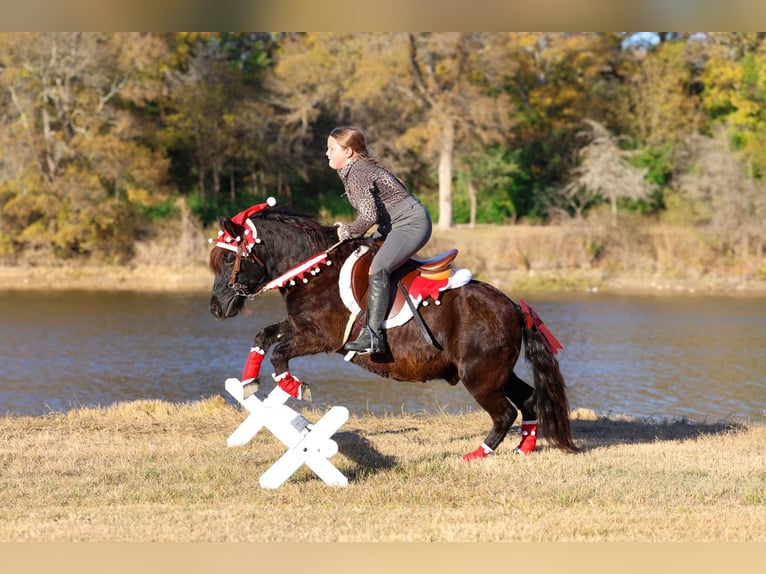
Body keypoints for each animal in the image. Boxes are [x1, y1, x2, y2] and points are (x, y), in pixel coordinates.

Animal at [208, 202, 580, 459]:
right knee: (528, 399)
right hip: (496, 372)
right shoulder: (299, 326)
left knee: (505, 413)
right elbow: (264, 336)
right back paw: (524, 447)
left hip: (479, 376)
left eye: (227, 260)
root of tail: (515, 308)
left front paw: (293, 385)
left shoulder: (321, 337)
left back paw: (478, 453)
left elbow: (281, 354)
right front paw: (249, 380)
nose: (215, 308)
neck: (314, 271)